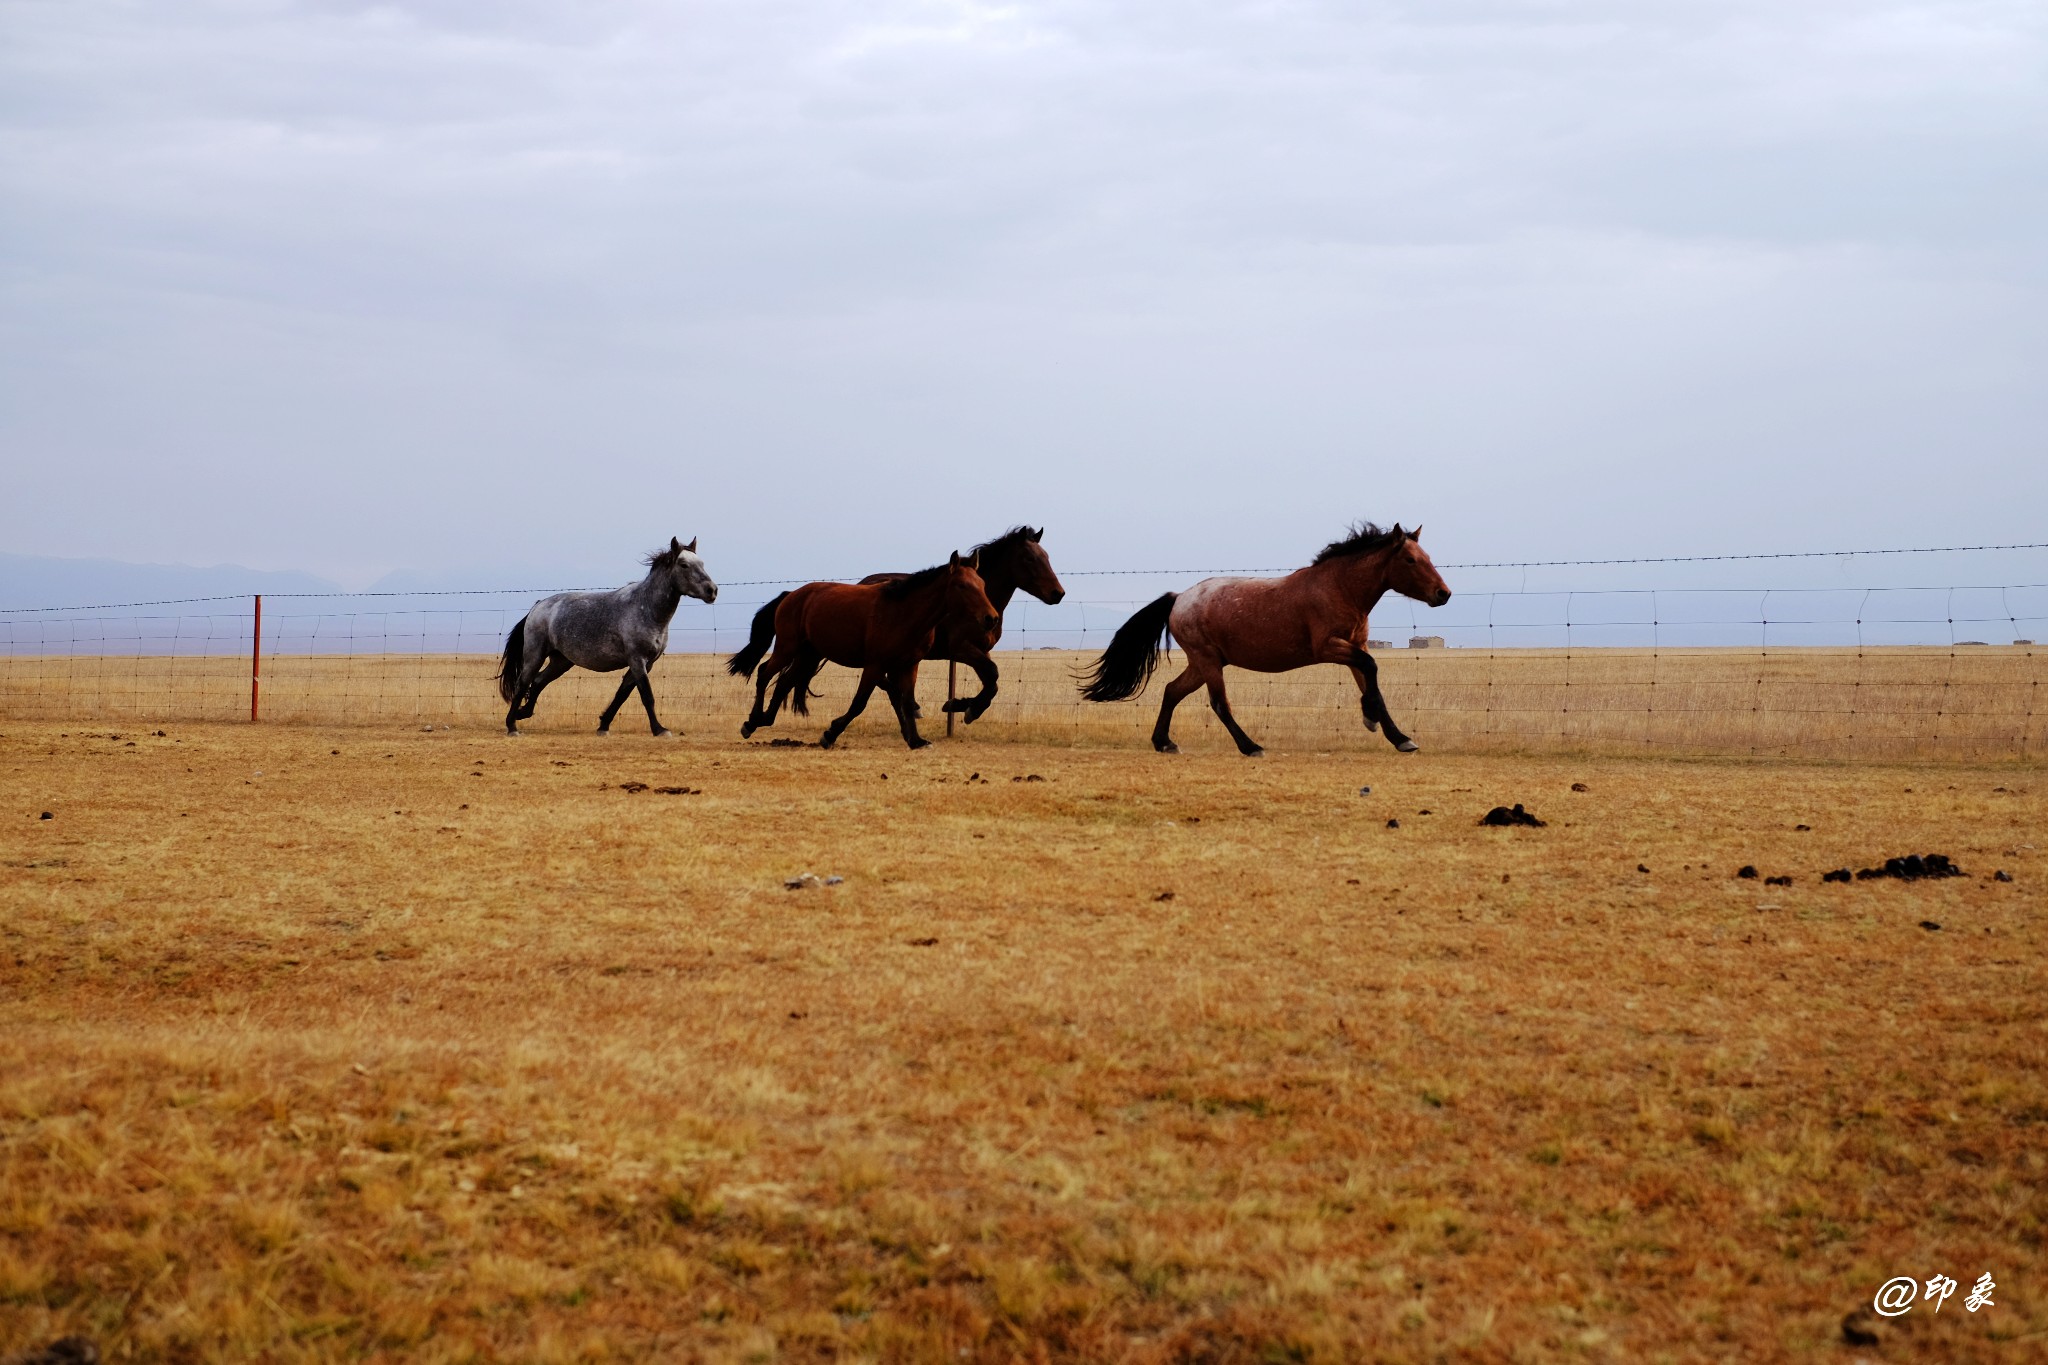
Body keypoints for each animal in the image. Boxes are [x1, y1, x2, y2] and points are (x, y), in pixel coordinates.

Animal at [495, 540, 720, 740]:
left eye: (702, 563)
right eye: (684, 565)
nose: (712, 590)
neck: (646, 609)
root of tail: (538, 606)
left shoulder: (647, 663)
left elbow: (622, 695)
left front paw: (603, 726)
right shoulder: (637, 660)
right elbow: (646, 695)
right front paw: (659, 729)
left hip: (561, 661)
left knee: (539, 681)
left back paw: (523, 713)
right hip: (535, 655)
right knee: (523, 683)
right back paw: (512, 725)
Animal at [729, 548, 999, 753]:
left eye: (982, 584)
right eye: (962, 586)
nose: (991, 618)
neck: (903, 613)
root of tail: (792, 595)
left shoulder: (909, 665)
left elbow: (907, 701)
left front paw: (916, 741)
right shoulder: (875, 666)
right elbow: (860, 703)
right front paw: (830, 733)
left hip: (809, 655)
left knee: (784, 682)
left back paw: (763, 719)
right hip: (787, 647)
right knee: (764, 672)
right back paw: (751, 722)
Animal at [856, 523, 1064, 724]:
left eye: (1046, 557)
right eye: (1029, 558)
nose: (1058, 593)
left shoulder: (982, 649)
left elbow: (992, 683)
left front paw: (961, 705)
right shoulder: (960, 648)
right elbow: (993, 673)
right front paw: (966, 708)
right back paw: (913, 708)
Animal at [1081, 523, 1449, 757]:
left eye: (1428, 557)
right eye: (1410, 559)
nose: (1443, 594)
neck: (1339, 588)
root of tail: (1178, 598)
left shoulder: (1354, 647)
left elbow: (1373, 684)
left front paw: (1396, 735)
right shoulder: (1329, 647)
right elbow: (1371, 669)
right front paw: (1373, 720)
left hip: (1203, 663)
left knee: (1172, 691)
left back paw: (1164, 743)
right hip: (1208, 662)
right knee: (1219, 703)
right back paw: (1251, 746)